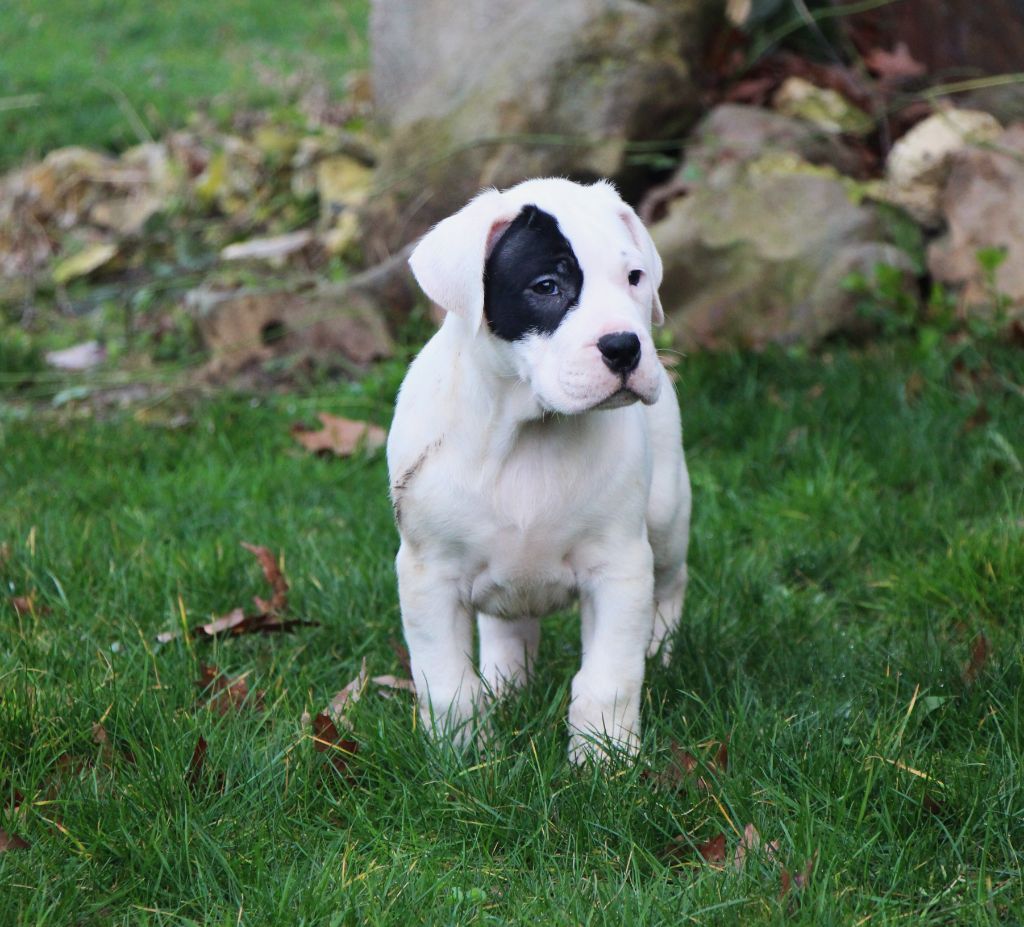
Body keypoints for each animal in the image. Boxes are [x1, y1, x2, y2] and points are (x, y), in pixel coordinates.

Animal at [387, 178, 691, 762]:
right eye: (547, 286)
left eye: (635, 278)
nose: (626, 347)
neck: (528, 432)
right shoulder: (428, 574)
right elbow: (447, 686)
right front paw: (460, 759)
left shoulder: (618, 568)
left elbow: (609, 678)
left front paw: (604, 759)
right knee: (507, 626)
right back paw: (507, 684)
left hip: (666, 517)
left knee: (671, 582)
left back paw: (662, 652)